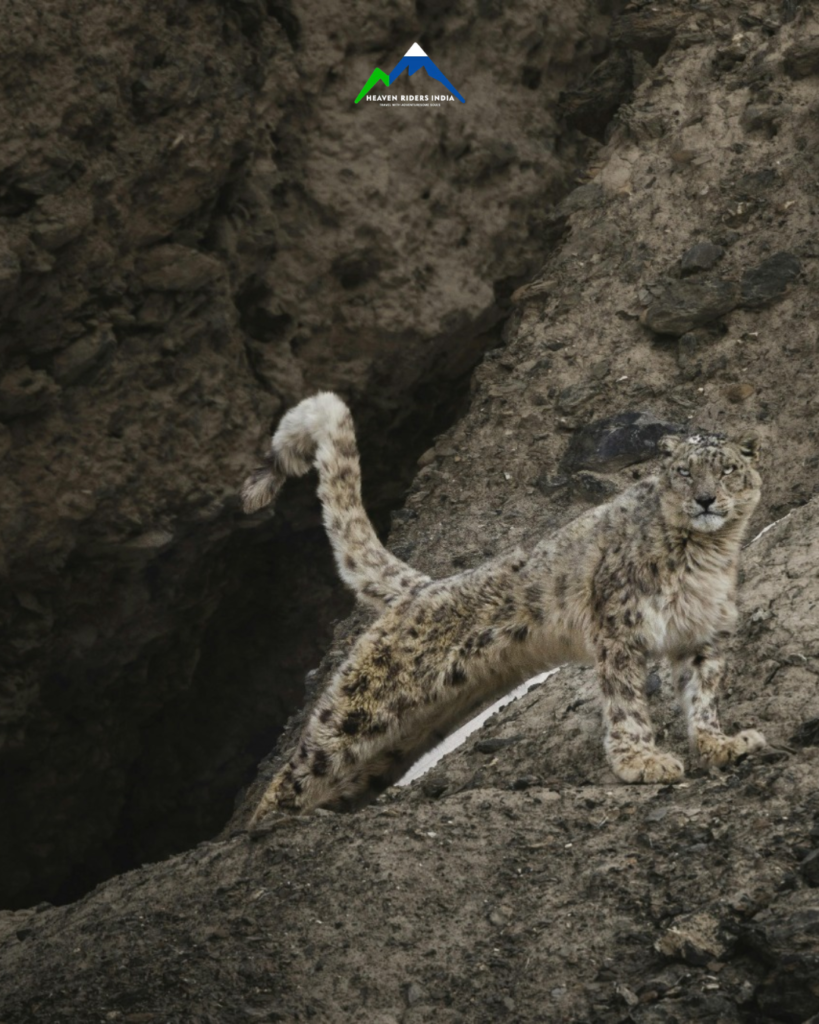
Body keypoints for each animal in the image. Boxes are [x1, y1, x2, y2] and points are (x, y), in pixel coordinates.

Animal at [241, 392, 765, 825]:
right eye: (685, 471)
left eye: (727, 469)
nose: (705, 499)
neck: (707, 556)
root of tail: (423, 587)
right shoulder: (620, 630)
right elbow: (626, 703)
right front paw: (642, 761)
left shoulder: (703, 637)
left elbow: (702, 697)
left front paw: (721, 744)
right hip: (365, 706)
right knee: (304, 763)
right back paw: (262, 828)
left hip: (411, 731)